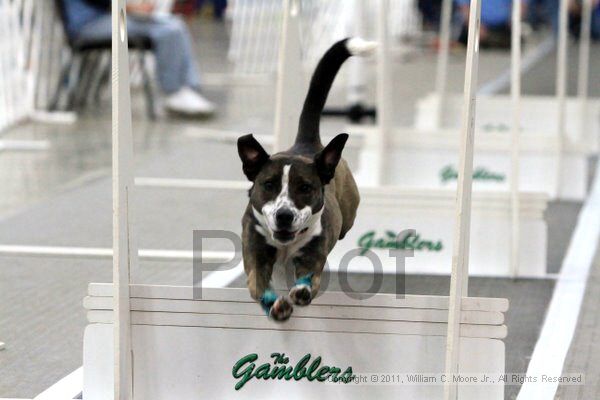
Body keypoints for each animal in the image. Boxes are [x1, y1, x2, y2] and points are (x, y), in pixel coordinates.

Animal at [236, 36, 372, 320]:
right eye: (269, 185)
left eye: (305, 188)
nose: (284, 215)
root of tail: (307, 144)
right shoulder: (255, 251)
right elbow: (258, 282)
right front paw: (275, 304)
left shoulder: (313, 253)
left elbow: (310, 276)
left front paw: (301, 291)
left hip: (348, 211)